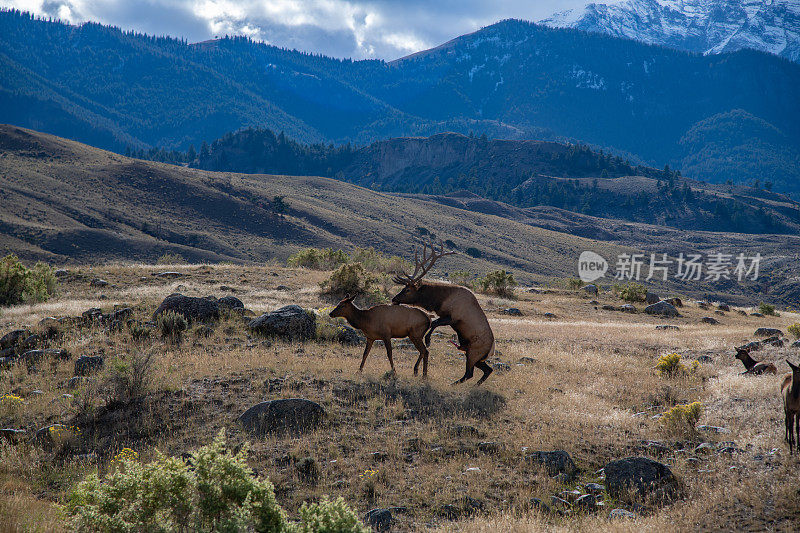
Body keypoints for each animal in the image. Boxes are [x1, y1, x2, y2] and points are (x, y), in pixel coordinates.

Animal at [392, 239, 496, 384]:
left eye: (407, 290)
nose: (394, 299)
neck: (440, 300)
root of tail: (492, 350)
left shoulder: (453, 318)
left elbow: (434, 323)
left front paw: (428, 340)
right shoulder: (447, 317)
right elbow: (434, 323)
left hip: (473, 354)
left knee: (469, 373)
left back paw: (453, 383)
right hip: (477, 357)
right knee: (487, 370)